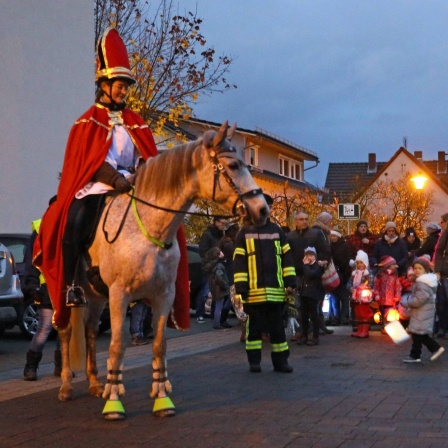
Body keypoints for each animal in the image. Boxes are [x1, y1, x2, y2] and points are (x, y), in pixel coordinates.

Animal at [57, 120, 270, 420]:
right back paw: (66, 386)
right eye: (232, 165)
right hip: (63, 290)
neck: (147, 228)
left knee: (88, 331)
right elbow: (117, 344)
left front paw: (161, 399)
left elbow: (159, 344)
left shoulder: (163, 296)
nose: (262, 210)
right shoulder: (119, 295)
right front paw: (114, 402)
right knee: (65, 330)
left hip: (96, 296)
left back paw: (95, 383)